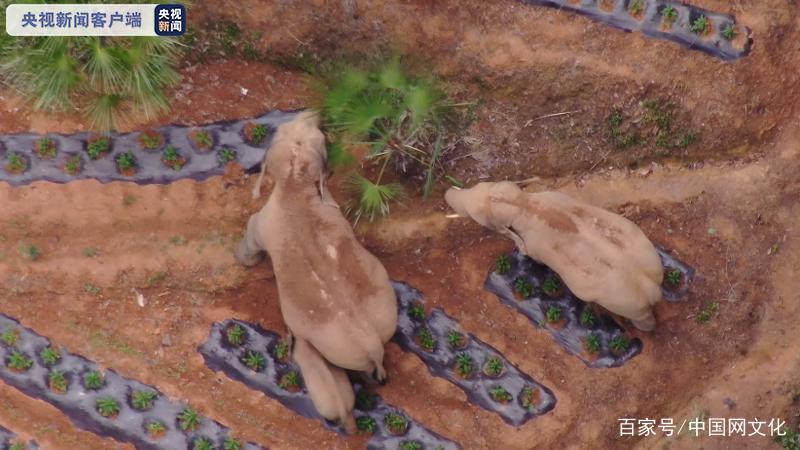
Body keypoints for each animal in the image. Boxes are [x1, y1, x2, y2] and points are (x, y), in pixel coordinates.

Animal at [235, 112, 398, 382]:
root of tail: (372, 344)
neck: (296, 182)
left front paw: (242, 260)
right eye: (320, 138)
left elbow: (251, 229)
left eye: (278, 130)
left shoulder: (264, 222)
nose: (317, 113)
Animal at [445, 181, 663, 331]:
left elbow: (534, 256)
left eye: (475, 217)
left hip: (628, 306)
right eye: (477, 185)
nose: (447, 192)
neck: (521, 203)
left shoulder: (534, 244)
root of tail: (651, 288)